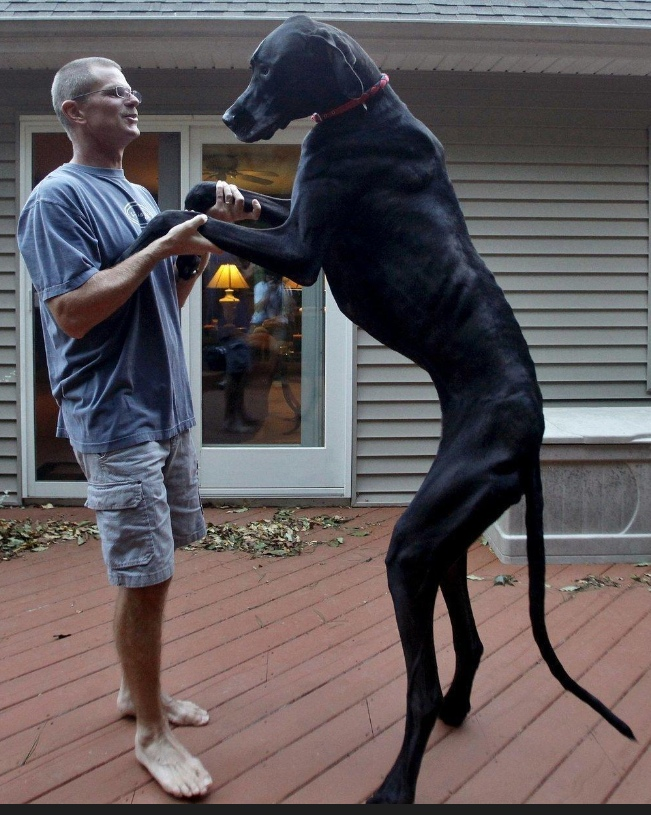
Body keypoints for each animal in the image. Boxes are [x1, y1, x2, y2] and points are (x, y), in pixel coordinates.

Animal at [121, 14, 636, 808]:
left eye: (267, 68)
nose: (233, 117)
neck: (358, 108)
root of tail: (529, 440)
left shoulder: (302, 249)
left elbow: (190, 218)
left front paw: (159, 227)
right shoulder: (294, 210)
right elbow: (222, 199)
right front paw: (211, 184)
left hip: (413, 546)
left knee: (418, 684)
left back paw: (398, 781)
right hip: (448, 535)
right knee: (470, 640)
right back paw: (455, 710)